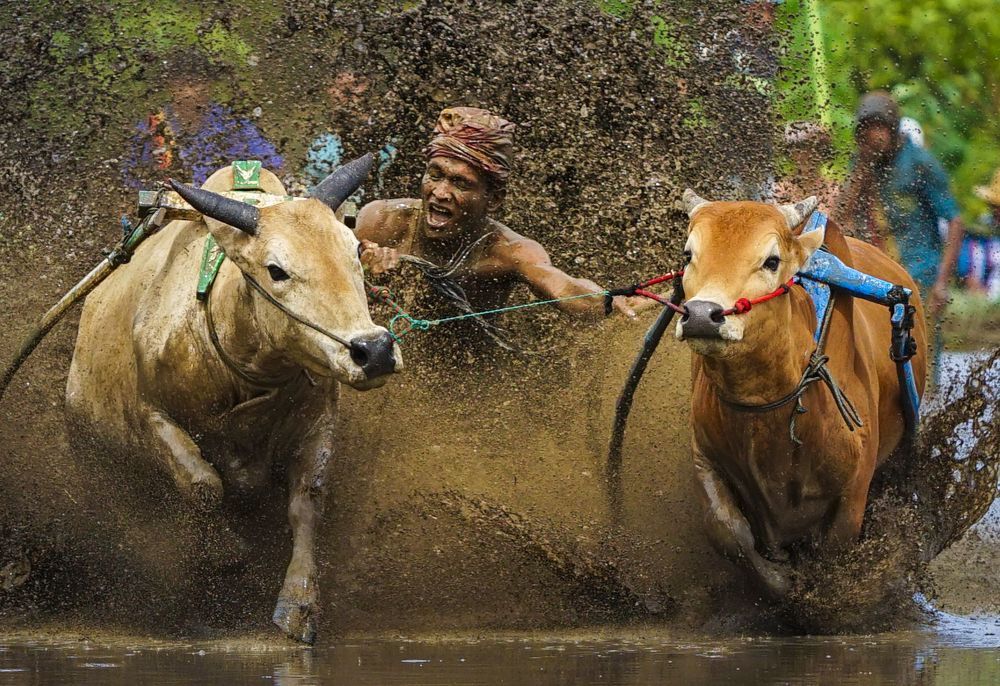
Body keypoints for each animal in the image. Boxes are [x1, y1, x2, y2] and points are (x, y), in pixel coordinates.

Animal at [65, 157, 401, 643]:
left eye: (355, 250)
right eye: (276, 270)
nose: (374, 351)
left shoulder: (318, 424)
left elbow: (307, 502)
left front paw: (298, 603)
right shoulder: (152, 418)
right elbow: (203, 485)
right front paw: (226, 554)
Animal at [675, 191, 927, 596]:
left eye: (771, 260)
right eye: (688, 255)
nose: (701, 315)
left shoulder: (853, 493)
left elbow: (831, 558)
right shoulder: (706, 458)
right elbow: (728, 532)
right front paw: (779, 579)